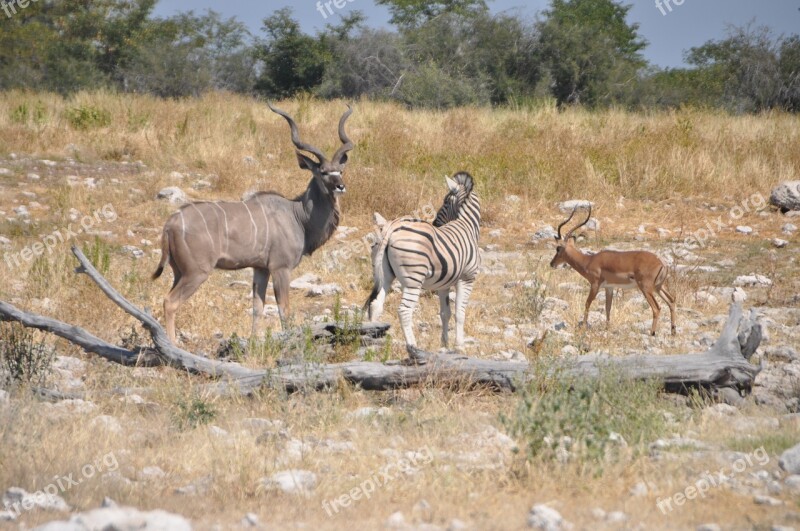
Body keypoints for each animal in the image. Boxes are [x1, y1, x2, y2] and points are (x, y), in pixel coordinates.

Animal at [364, 174, 482, 358]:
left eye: (445, 202)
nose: (436, 223)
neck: (466, 225)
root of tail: (391, 226)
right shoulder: (467, 278)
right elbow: (459, 313)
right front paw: (459, 346)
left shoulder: (443, 285)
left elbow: (445, 313)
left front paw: (444, 345)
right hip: (413, 279)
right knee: (404, 310)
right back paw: (413, 346)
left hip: (384, 275)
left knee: (376, 305)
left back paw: (374, 342)